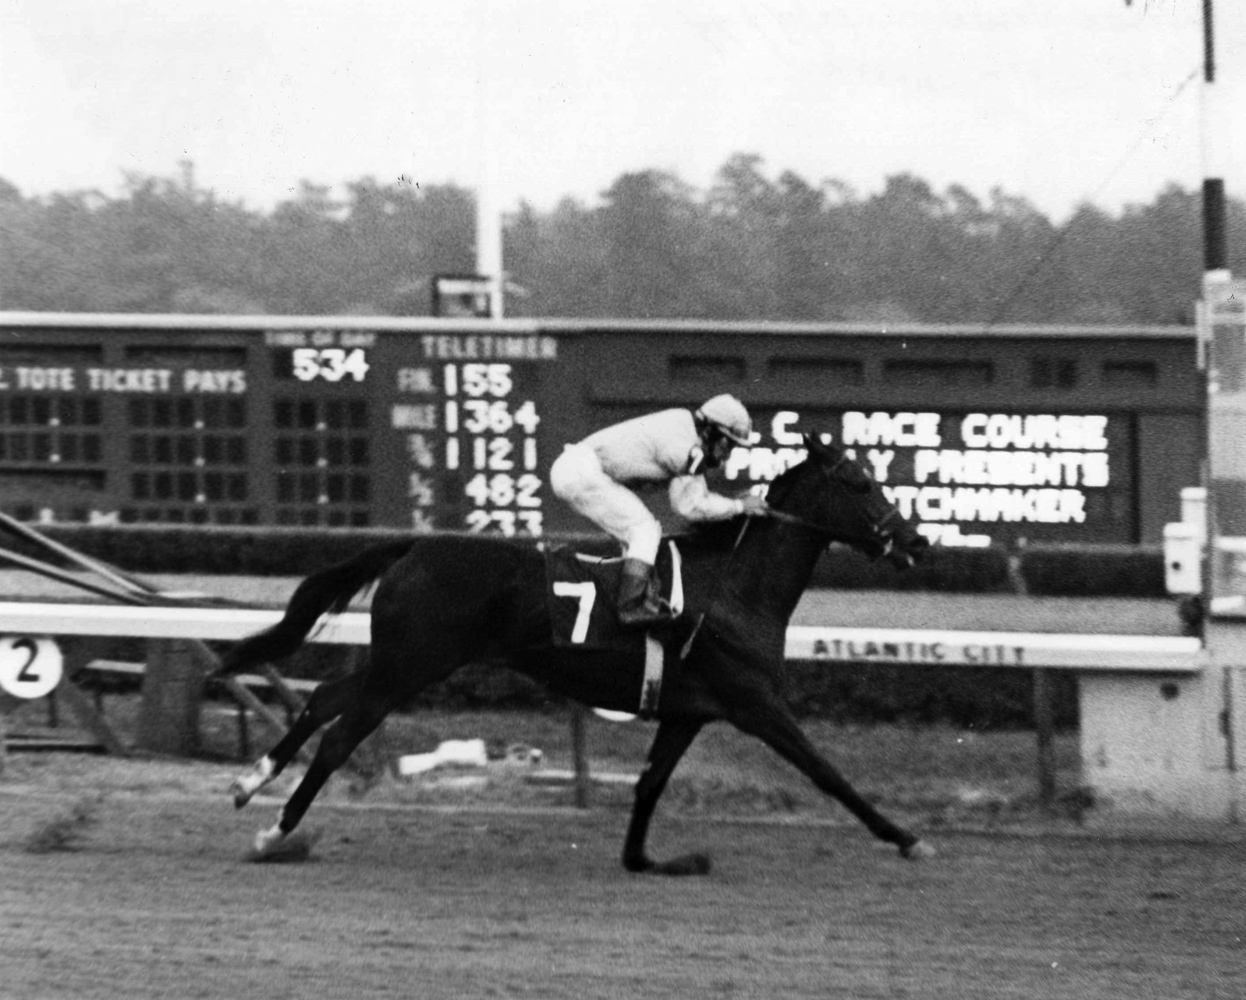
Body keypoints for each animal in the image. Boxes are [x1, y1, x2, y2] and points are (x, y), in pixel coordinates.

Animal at [216, 433, 936, 871]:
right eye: (861, 482)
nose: (916, 542)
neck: (736, 586)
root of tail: (415, 544)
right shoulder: (755, 703)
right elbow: (827, 773)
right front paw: (906, 837)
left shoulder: (687, 712)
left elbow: (649, 784)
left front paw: (647, 860)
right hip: (410, 665)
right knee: (341, 736)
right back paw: (276, 831)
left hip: (398, 660)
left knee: (326, 700)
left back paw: (251, 782)